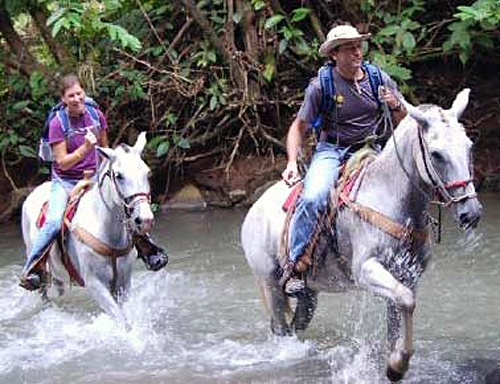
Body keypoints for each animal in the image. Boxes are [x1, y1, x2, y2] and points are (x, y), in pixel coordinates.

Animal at [21, 132, 153, 324]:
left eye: (147, 173)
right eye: (119, 175)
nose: (145, 220)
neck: (108, 232)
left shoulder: (123, 282)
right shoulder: (94, 283)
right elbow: (121, 320)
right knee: (43, 292)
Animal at [240, 89, 482, 380]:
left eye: (469, 146)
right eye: (436, 154)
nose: (471, 212)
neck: (391, 197)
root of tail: (255, 207)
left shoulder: (408, 275)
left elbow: (398, 319)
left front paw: (393, 363)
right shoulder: (366, 269)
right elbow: (406, 300)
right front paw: (397, 367)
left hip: (309, 292)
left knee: (297, 323)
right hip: (270, 282)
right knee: (280, 327)